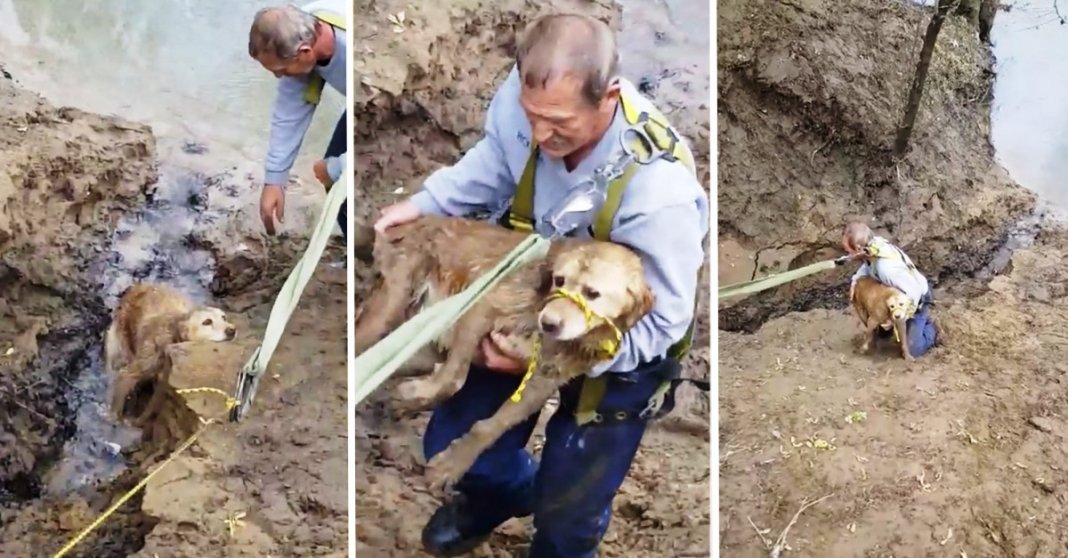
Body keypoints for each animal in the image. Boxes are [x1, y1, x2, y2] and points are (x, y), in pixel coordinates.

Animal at [104, 282, 238, 421]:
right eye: (207, 322)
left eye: (224, 317)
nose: (231, 330)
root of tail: (137, 286)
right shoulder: (147, 359)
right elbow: (125, 378)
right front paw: (114, 416)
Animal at [354, 214, 653, 489]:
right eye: (559, 280)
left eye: (592, 293)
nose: (549, 323)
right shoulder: (482, 306)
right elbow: (454, 380)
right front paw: (416, 394)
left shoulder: (542, 382)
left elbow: (491, 427)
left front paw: (452, 464)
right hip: (389, 308)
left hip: (421, 345)